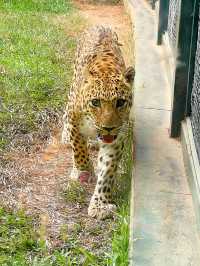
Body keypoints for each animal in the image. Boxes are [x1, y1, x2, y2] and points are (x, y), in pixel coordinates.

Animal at [62, 25, 134, 220]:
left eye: (120, 102)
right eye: (95, 102)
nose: (108, 127)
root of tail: (100, 26)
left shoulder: (117, 137)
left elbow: (108, 169)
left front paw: (100, 205)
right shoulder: (74, 119)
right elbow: (79, 148)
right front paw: (83, 171)